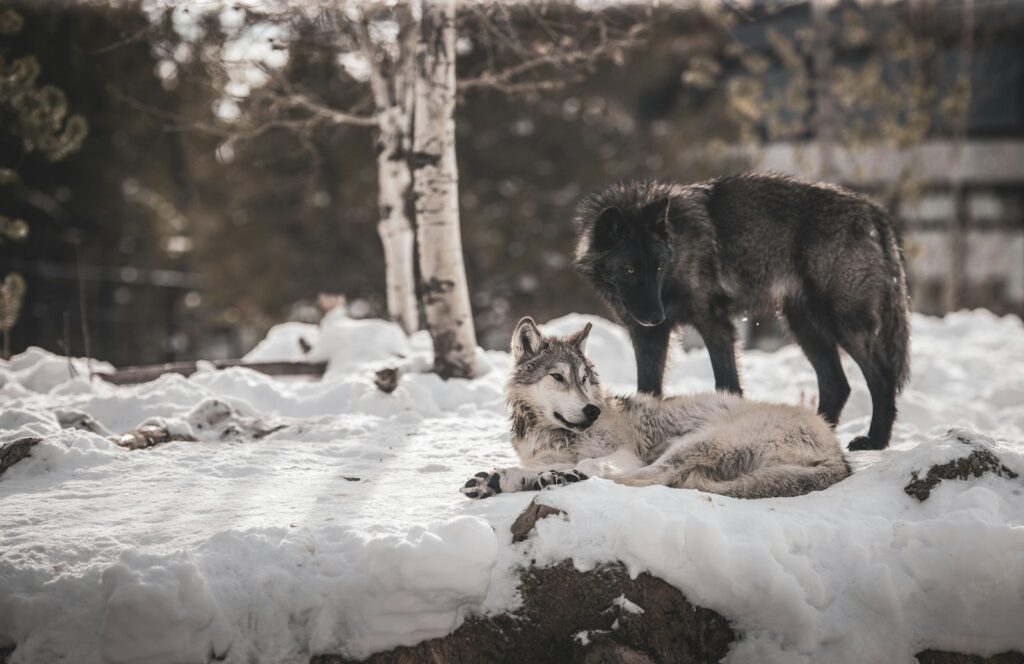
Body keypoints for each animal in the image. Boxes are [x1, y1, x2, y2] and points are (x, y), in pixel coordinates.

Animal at [461, 317, 849, 500]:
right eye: (558, 377)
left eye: (584, 378)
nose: (592, 411)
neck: (552, 434)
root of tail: (839, 453)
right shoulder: (544, 456)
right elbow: (540, 467)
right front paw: (502, 477)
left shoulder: (625, 454)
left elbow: (595, 465)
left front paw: (558, 475)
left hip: (693, 443)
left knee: (650, 478)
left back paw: (564, 479)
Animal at [572, 172, 911, 451]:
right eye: (629, 270)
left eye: (657, 267)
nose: (656, 316)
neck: (678, 246)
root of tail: (873, 210)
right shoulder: (648, 336)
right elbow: (648, 389)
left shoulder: (714, 324)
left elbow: (727, 383)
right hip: (803, 326)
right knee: (837, 384)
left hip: (843, 323)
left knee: (881, 377)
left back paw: (875, 440)